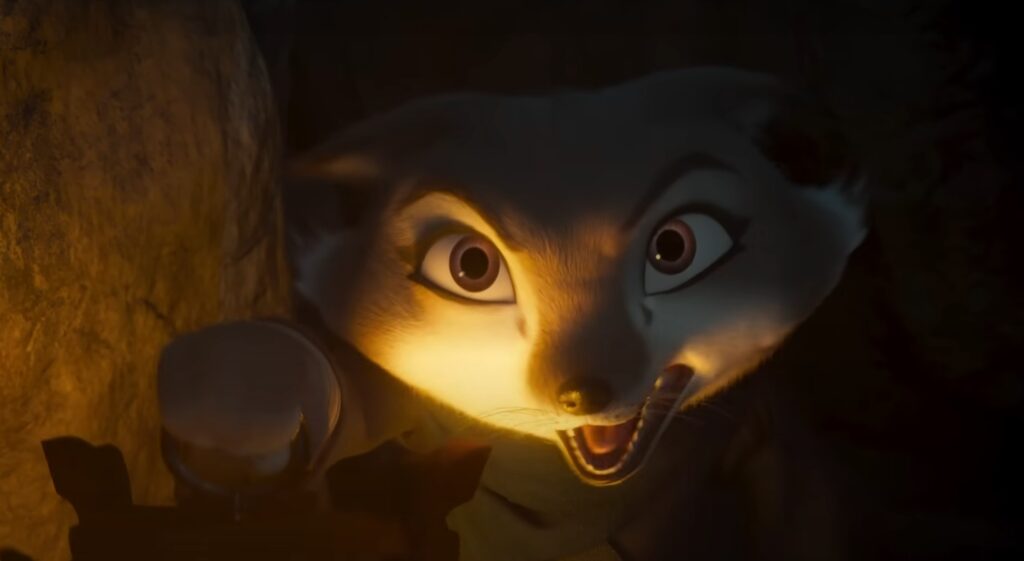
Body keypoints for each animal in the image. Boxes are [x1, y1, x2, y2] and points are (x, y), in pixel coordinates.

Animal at [158, 66, 867, 561]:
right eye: (471, 265)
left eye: (675, 248)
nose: (584, 392)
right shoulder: (425, 413)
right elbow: (349, 404)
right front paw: (241, 385)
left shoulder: (757, 419)